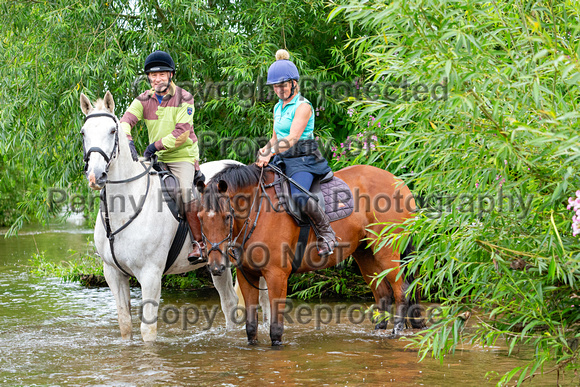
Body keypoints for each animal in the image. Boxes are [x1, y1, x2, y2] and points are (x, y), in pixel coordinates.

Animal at [78, 92, 268, 342]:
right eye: (83, 132)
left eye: (112, 130)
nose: (96, 176)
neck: (125, 204)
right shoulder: (113, 274)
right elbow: (125, 325)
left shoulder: (150, 274)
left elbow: (147, 330)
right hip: (219, 263)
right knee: (230, 303)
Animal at [198, 163, 422, 346]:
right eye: (200, 217)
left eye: (227, 216)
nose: (216, 266)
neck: (257, 212)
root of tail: (399, 182)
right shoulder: (248, 275)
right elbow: (251, 327)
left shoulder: (277, 275)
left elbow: (276, 329)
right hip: (365, 253)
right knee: (383, 293)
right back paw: (379, 331)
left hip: (386, 251)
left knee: (401, 289)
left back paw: (396, 330)